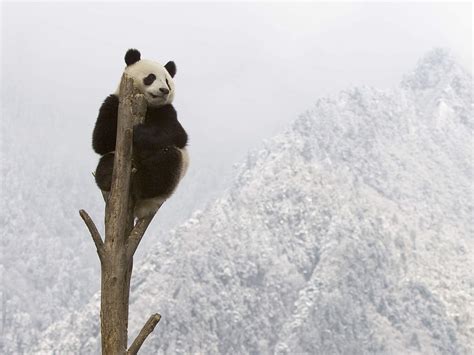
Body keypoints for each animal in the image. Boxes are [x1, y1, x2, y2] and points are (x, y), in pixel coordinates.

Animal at [92, 48, 189, 218]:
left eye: (167, 81)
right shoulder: (113, 102)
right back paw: (109, 175)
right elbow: (100, 141)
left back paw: (142, 184)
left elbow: (178, 135)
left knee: (166, 163)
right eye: (151, 77)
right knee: (106, 162)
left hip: (173, 176)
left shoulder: (167, 110)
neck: (149, 105)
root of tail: (142, 208)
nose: (164, 90)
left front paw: (140, 133)